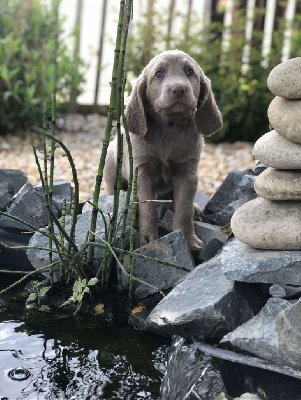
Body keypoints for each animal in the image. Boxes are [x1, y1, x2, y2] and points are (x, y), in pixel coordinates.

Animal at [104, 49, 221, 250]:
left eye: (189, 72)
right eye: (159, 74)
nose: (179, 89)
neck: (170, 127)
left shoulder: (187, 172)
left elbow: (183, 208)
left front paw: (189, 240)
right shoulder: (141, 172)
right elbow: (147, 208)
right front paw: (148, 239)